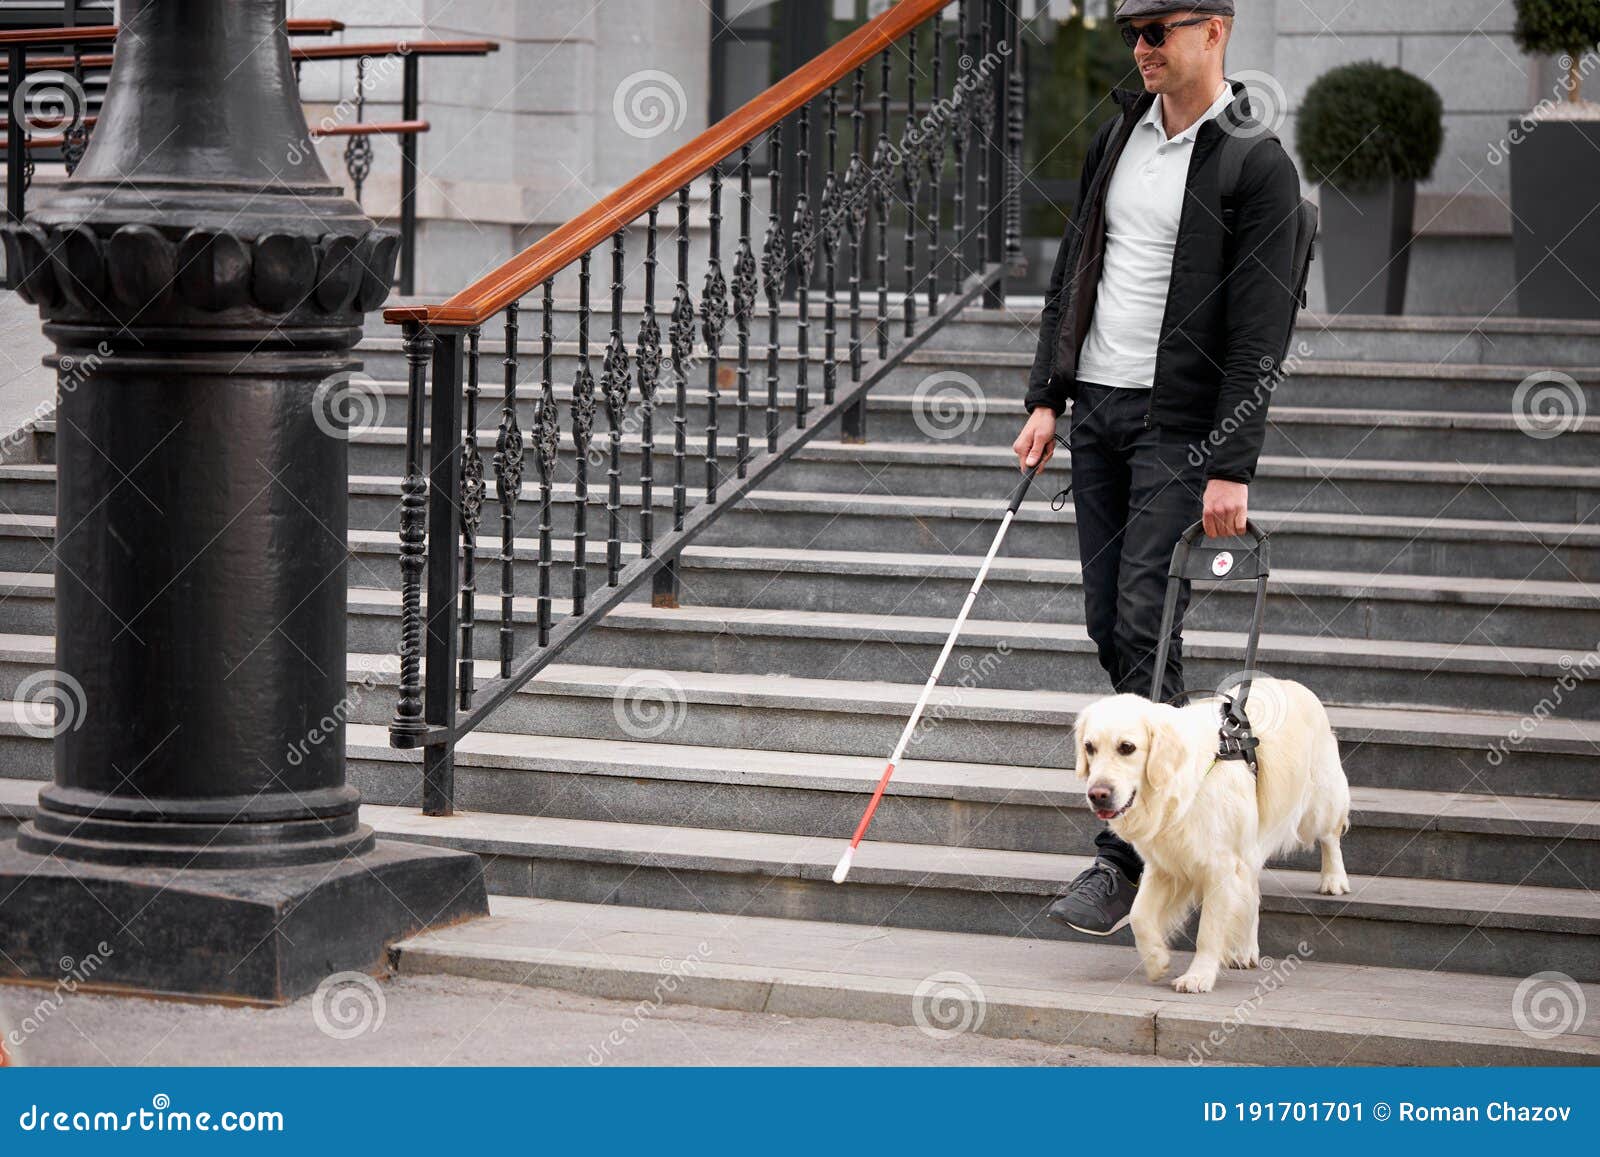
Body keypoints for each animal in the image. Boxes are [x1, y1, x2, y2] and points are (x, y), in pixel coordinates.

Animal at [1075, 678, 1350, 998]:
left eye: (1127, 747)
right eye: (1089, 747)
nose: (1097, 795)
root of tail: (1290, 682)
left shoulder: (1221, 867)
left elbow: (1209, 929)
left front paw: (1198, 976)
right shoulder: (1165, 863)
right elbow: (1138, 915)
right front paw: (1156, 960)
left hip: (1319, 803)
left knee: (1330, 834)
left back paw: (1334, 879)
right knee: (1251, 891)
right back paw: (1244, 949)